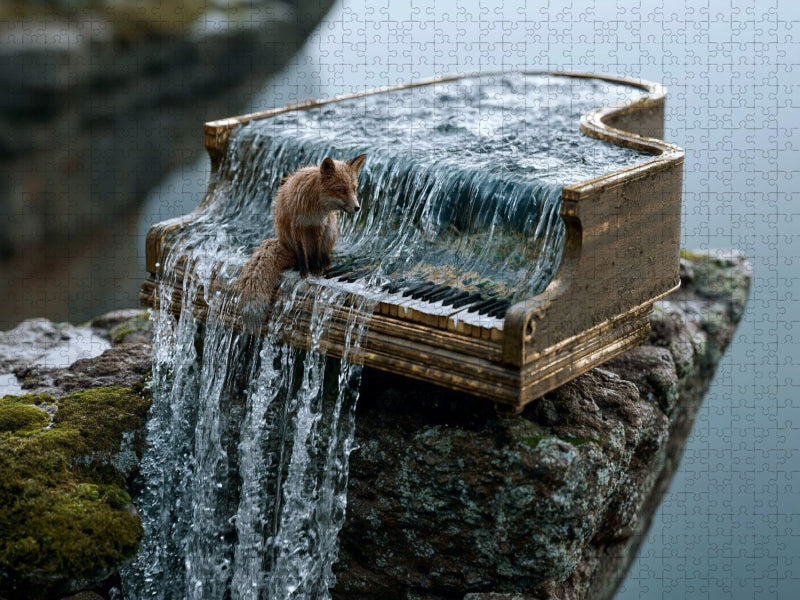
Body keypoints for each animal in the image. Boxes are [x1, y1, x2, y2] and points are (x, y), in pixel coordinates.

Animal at [236, 153, 367, 330]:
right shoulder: (297, 227)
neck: (314, 206)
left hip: (330, 230)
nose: (357, 208)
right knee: (299, 255)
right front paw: (305, 273)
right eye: (341, 190)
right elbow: (302, 253)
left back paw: (324, 265)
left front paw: (316, 271)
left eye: (354, 189)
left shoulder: (318, 225)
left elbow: (317, 252)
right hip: (288, 236)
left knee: (323, 254)